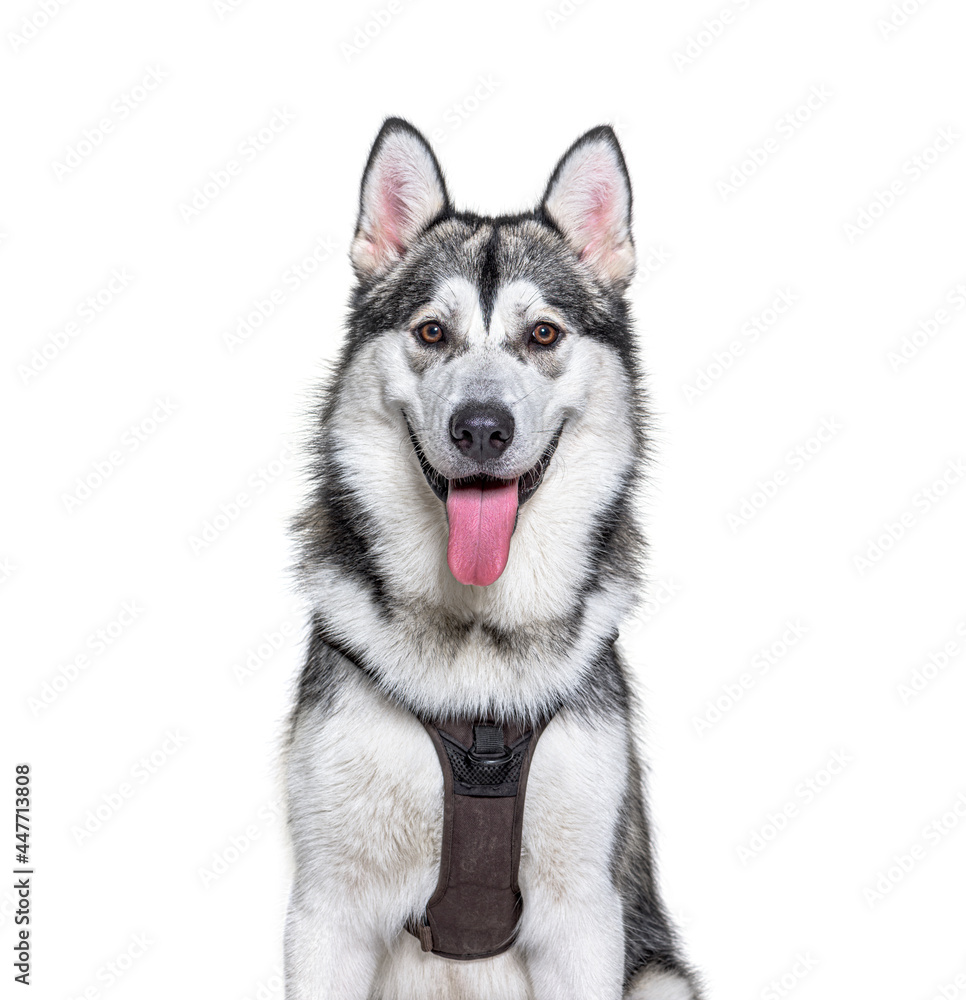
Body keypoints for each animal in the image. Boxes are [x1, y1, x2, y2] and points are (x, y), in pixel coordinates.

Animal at [284, 119, 700, 1000]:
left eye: (541, 333)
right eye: (431, 332)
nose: (481, 427)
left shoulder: (586, 917)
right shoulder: (327, 912)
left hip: (659, 977)